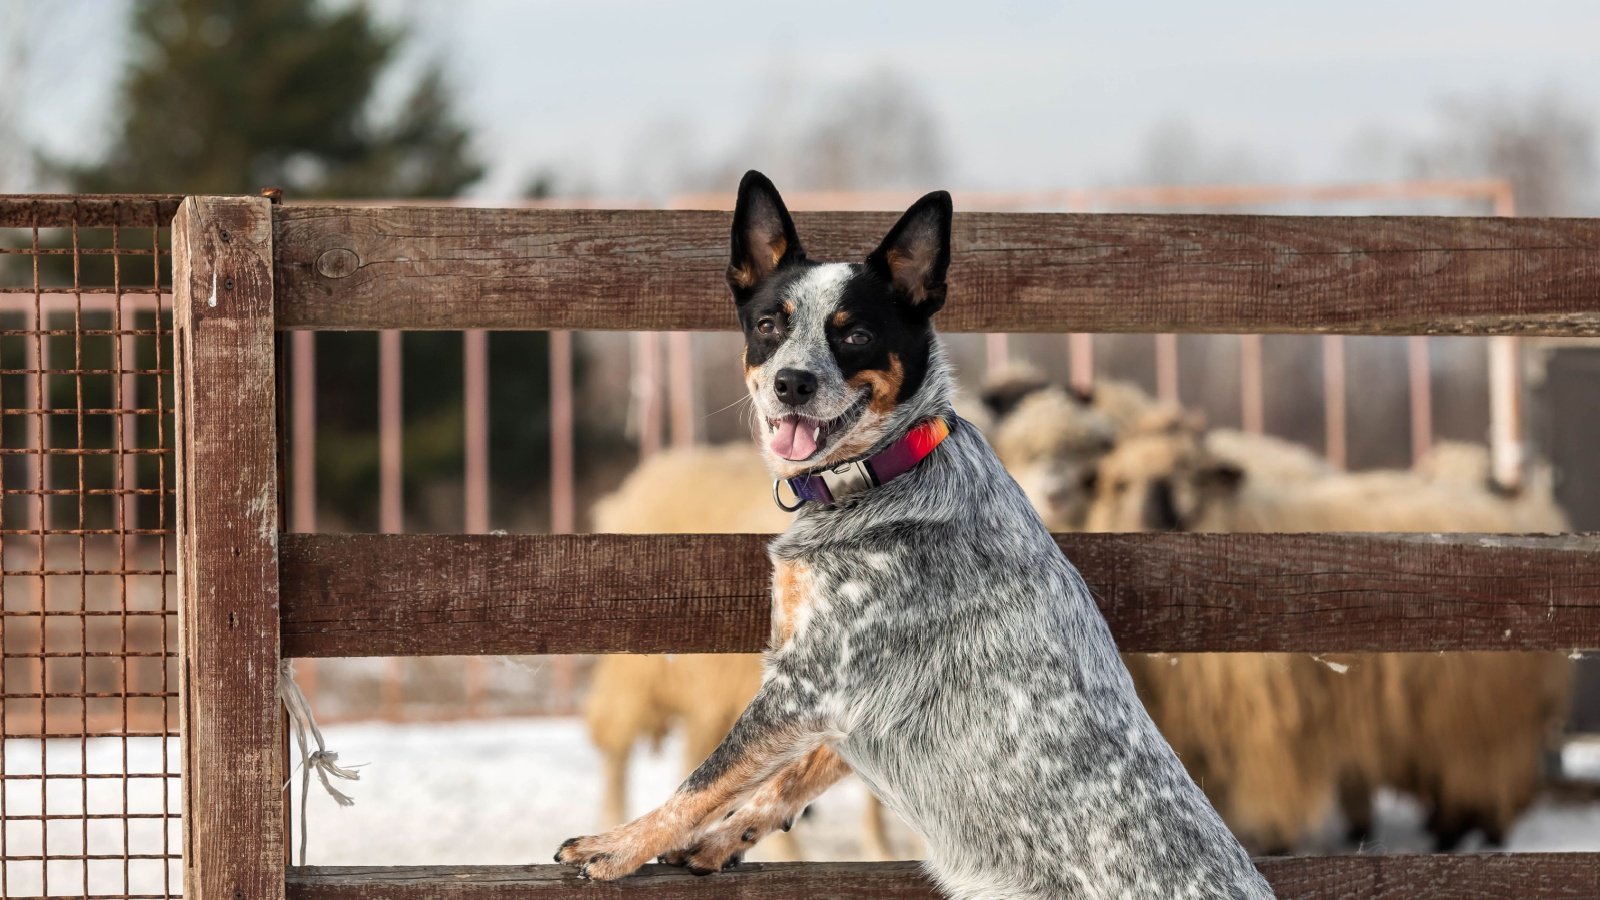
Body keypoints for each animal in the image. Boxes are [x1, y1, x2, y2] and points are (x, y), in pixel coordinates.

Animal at [1088, 422, 1574, 851]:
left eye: (1189, 473)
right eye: (1120, 483)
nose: (1156, 516)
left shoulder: (1265, 716)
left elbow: (1270, 781)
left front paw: (1271, 840)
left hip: (1482, 710)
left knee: (1483, 772)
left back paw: (1468, 834)